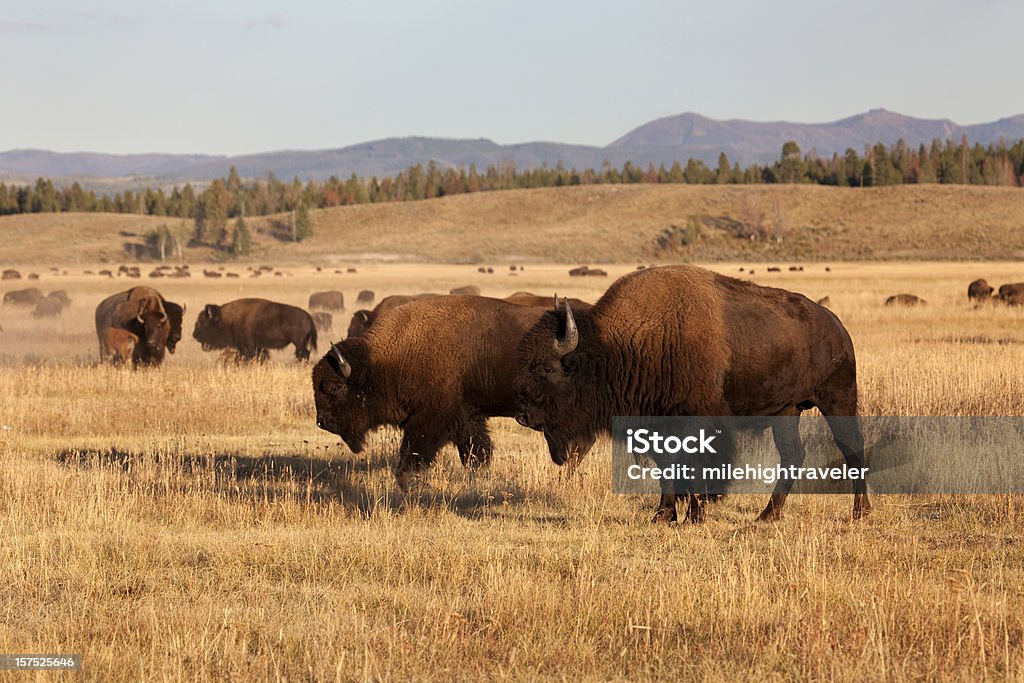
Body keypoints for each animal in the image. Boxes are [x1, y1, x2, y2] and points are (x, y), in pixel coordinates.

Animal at [516, 266, 868, 524]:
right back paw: (768, 515)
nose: (523, 416)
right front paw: (664, 515)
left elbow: (695, 464)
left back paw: (860, 512)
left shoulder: (698, 422)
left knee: (852, 447)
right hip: (787, 410)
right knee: (792, 454)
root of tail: (836, 326)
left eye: (547, 368)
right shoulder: (657, 426)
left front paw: (694, 515)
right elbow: (667, 467)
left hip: (838, 399)